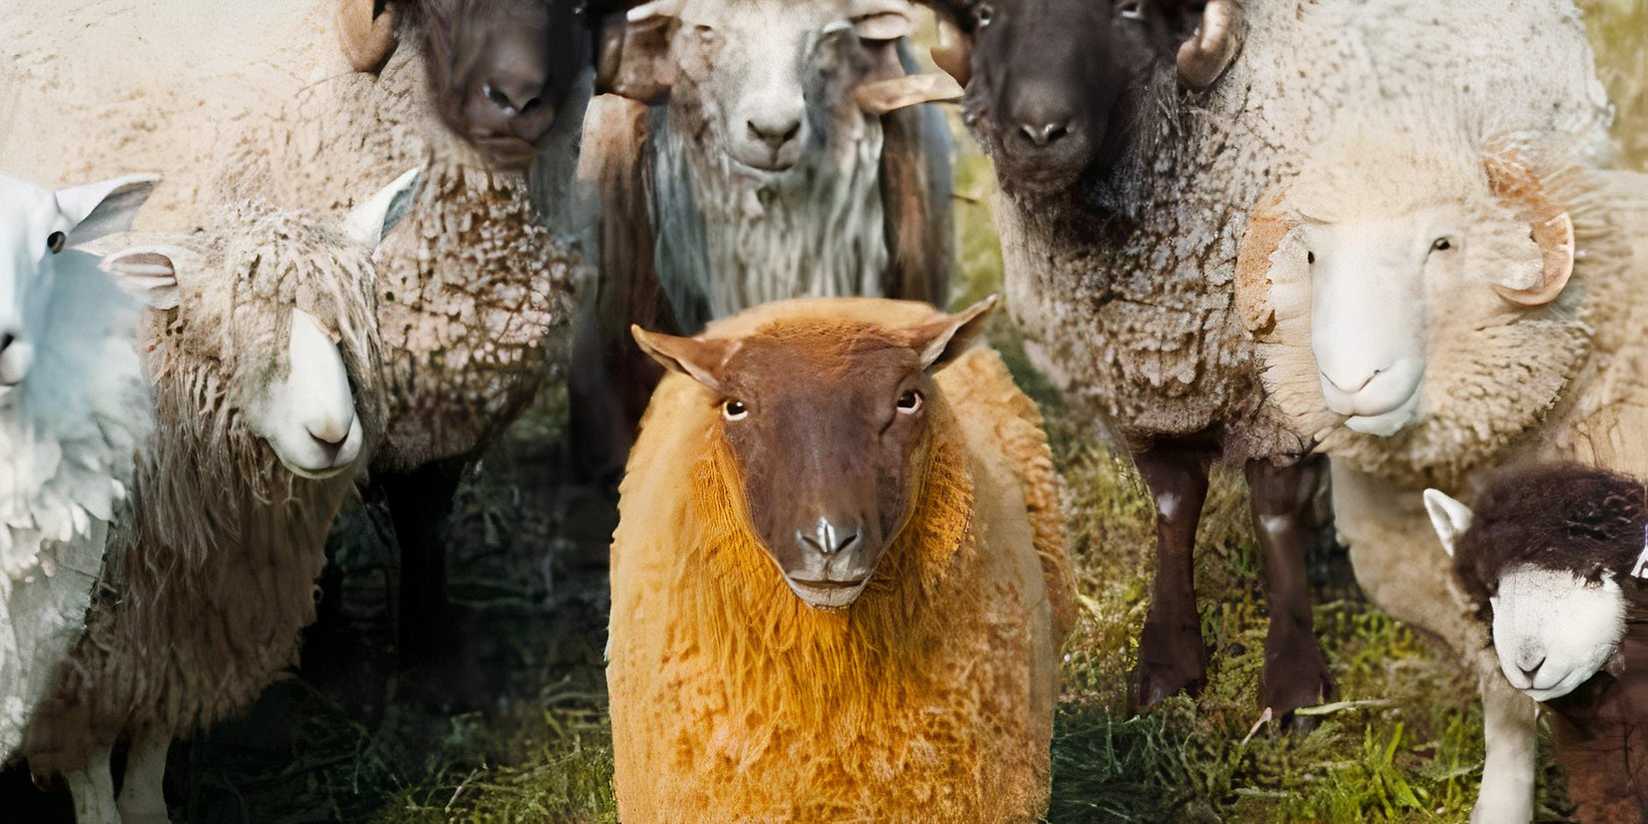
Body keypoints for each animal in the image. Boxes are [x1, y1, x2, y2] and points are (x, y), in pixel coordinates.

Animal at [21, 170, 420, 824]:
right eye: (229, 324)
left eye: (351, 324)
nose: (331, 434)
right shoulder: (79, 665)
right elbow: (94, 783)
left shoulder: (185, 632)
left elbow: (147, 767)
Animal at [916, 0, 1615, 745]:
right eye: (985, 15)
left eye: (1128, 10)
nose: (1040, 132)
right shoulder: (1141, 394)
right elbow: (1173, 504)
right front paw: (1166, 667)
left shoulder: (1280, 385)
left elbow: (1273, 509)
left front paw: (1294, 684)